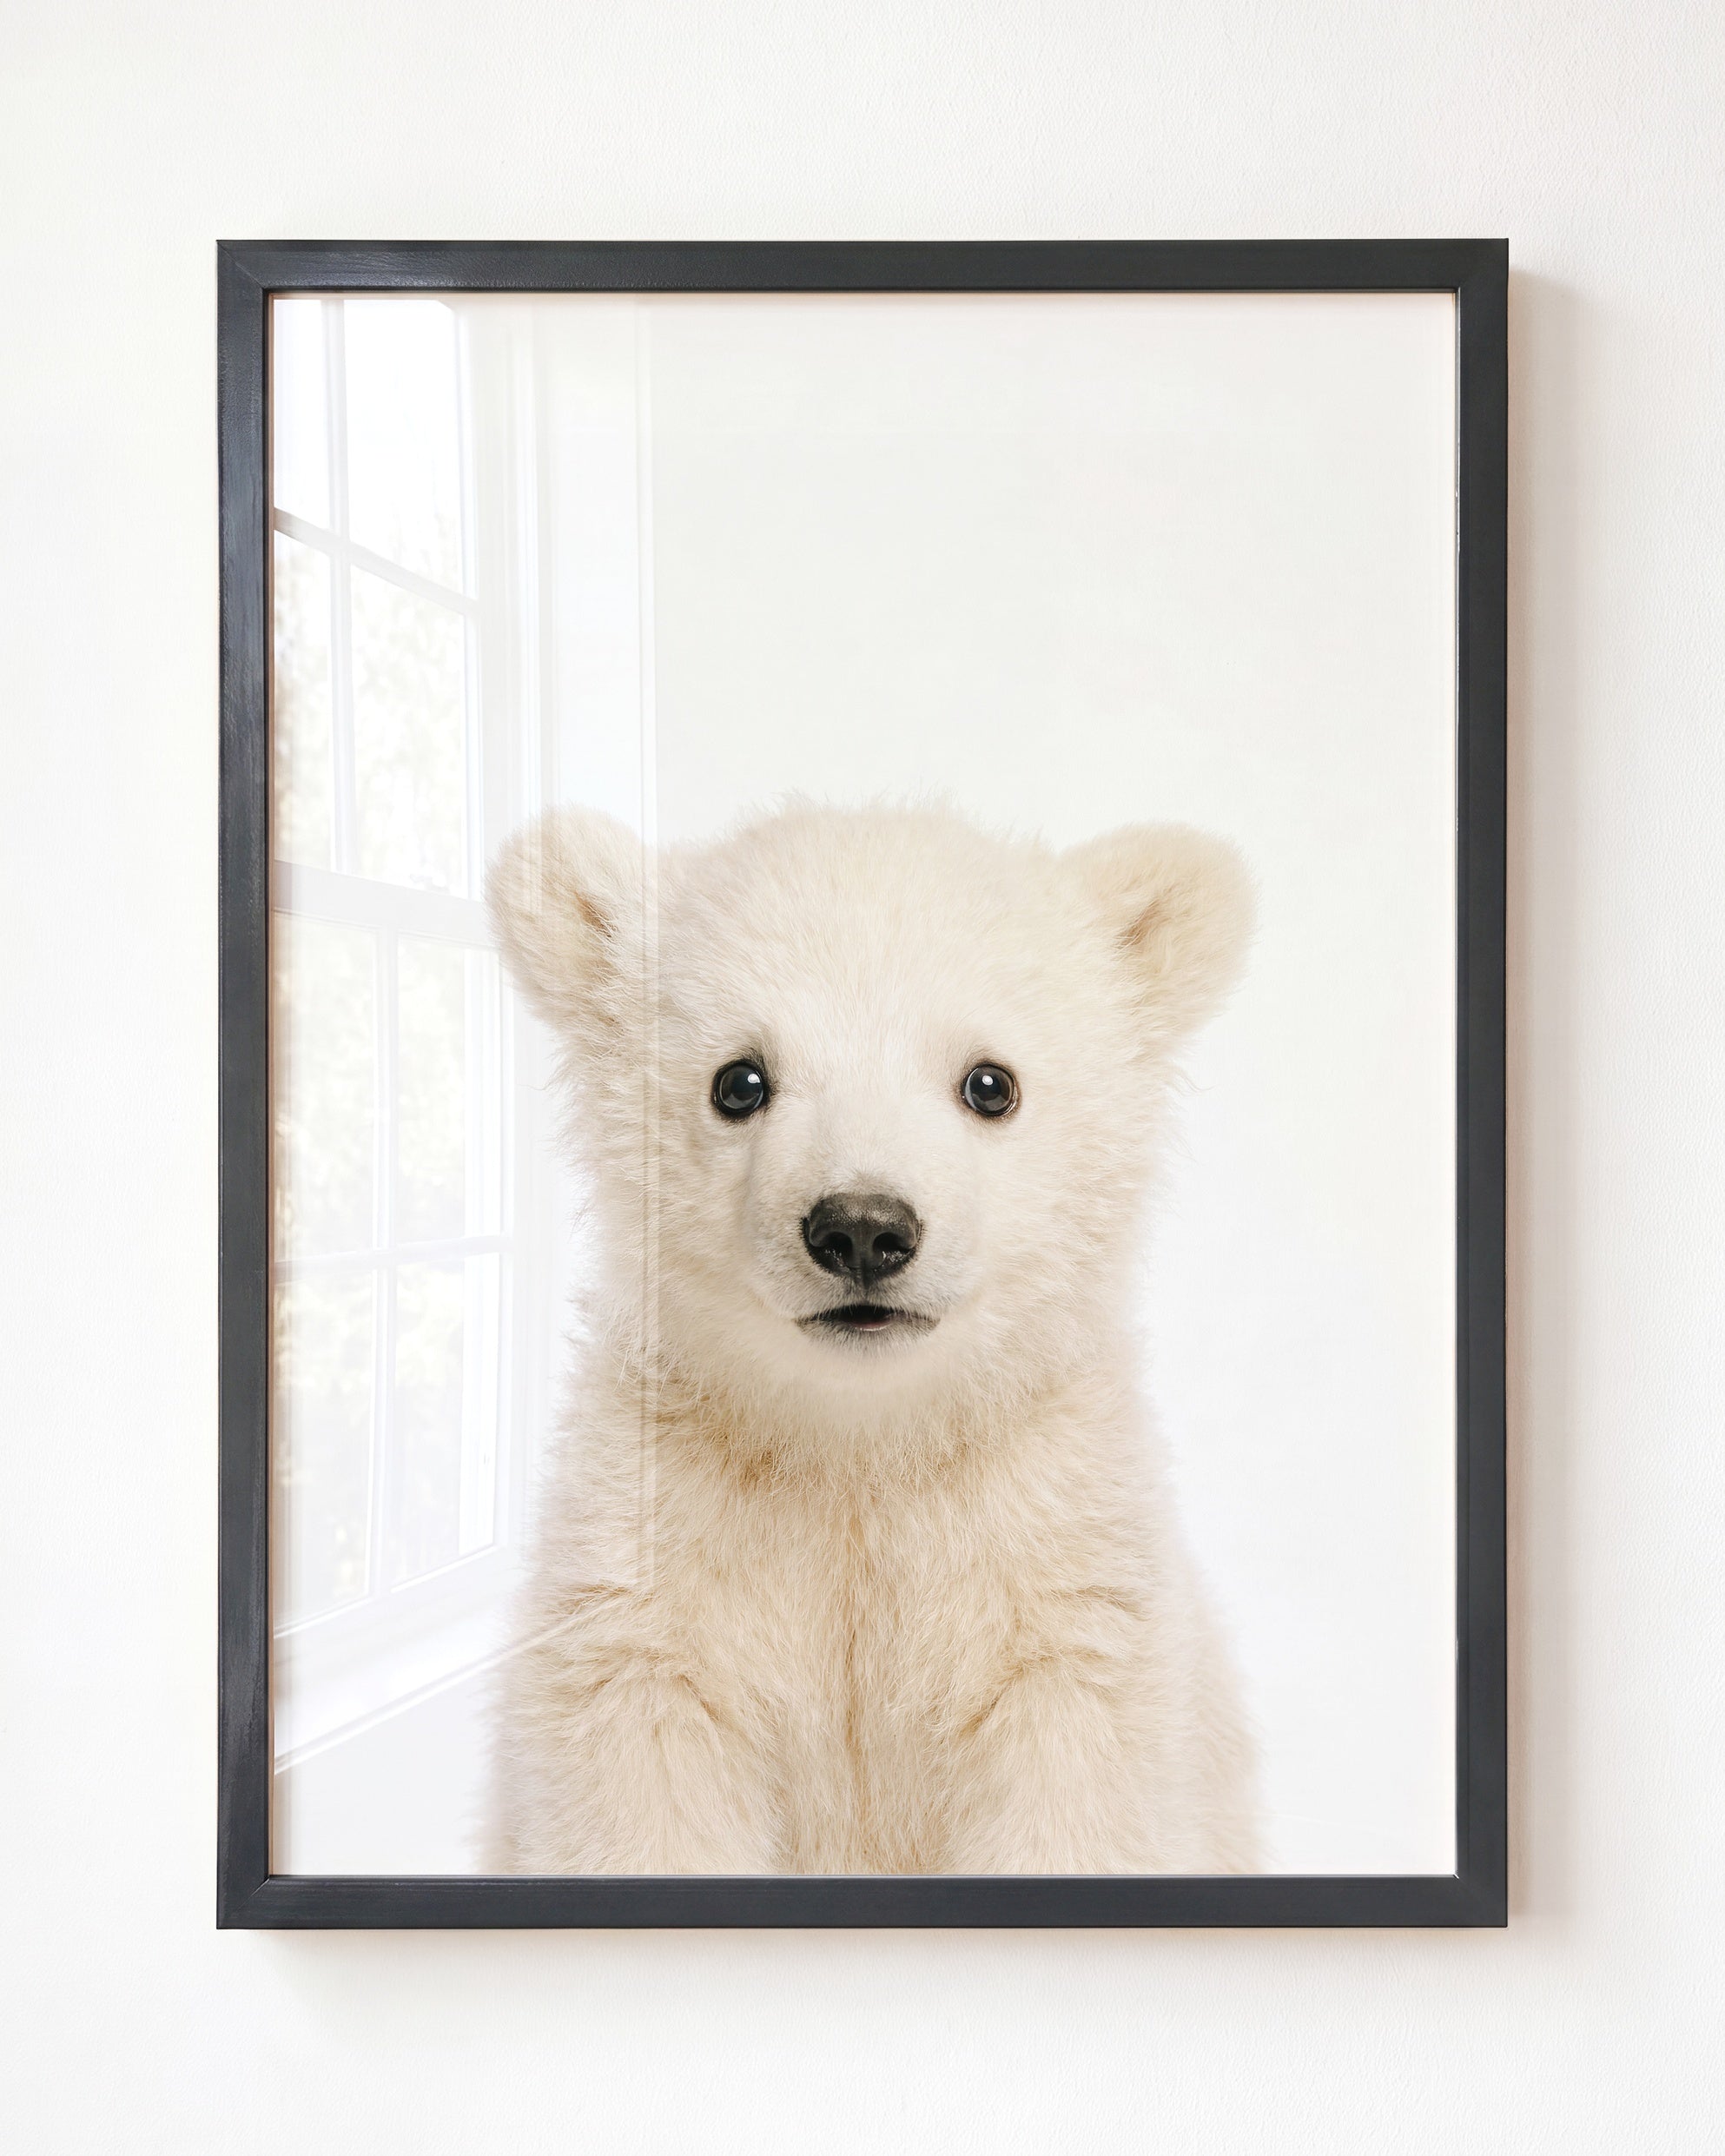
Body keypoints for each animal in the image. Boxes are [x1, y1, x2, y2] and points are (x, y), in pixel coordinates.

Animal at [484, 798, 1258, 1874]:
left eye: (990, 1082)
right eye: (739, 1080)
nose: (861, 1227)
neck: (861, 1445)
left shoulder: (1058, 1581)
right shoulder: (652, 1567)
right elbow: (643, 1786)